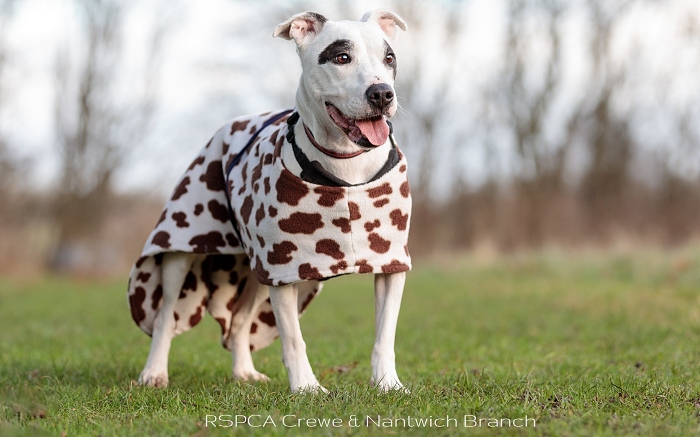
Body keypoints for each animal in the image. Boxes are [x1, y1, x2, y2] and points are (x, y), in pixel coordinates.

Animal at [128, 9, 410, 392]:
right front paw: (306, 387)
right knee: (164, 317)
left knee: (240, 320)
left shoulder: (390, 261)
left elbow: (385, 334)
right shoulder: (285, 269)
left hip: (257, 271)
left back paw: (244, 371)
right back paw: (154, 372)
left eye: (389, 58)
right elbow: (292, 337)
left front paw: (387, 384)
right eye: (341, 57)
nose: (382, 93)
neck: (346, 165)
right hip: (182, 252)